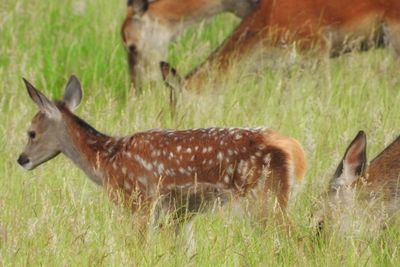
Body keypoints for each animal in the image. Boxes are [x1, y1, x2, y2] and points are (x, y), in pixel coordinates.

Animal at [16, 75, 306, 232]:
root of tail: (291, 146)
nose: (21, 159)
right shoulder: (178, 214)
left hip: (262, 197)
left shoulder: (139, 201)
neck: (105, 161)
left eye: (31, 132)